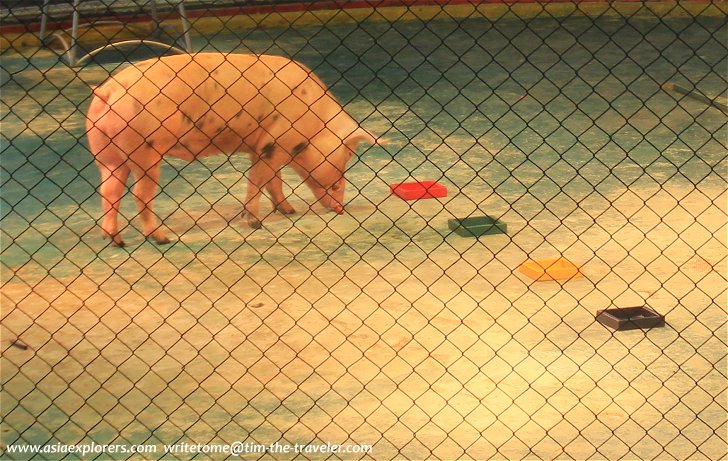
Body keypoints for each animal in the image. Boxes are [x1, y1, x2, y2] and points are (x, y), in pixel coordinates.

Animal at [87, 51, 384, 246]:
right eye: (347, 154)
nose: (341, 209)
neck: (316, 121)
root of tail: (109, 92)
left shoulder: (262, 147)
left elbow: (273, 181)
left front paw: (288, 211)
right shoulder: (274, 144)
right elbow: (258, 181)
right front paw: (255, 222)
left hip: (107, 155)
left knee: (109, 191)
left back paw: (115, 240)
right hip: (146, 151)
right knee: (139, 194)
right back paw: (162, 238)